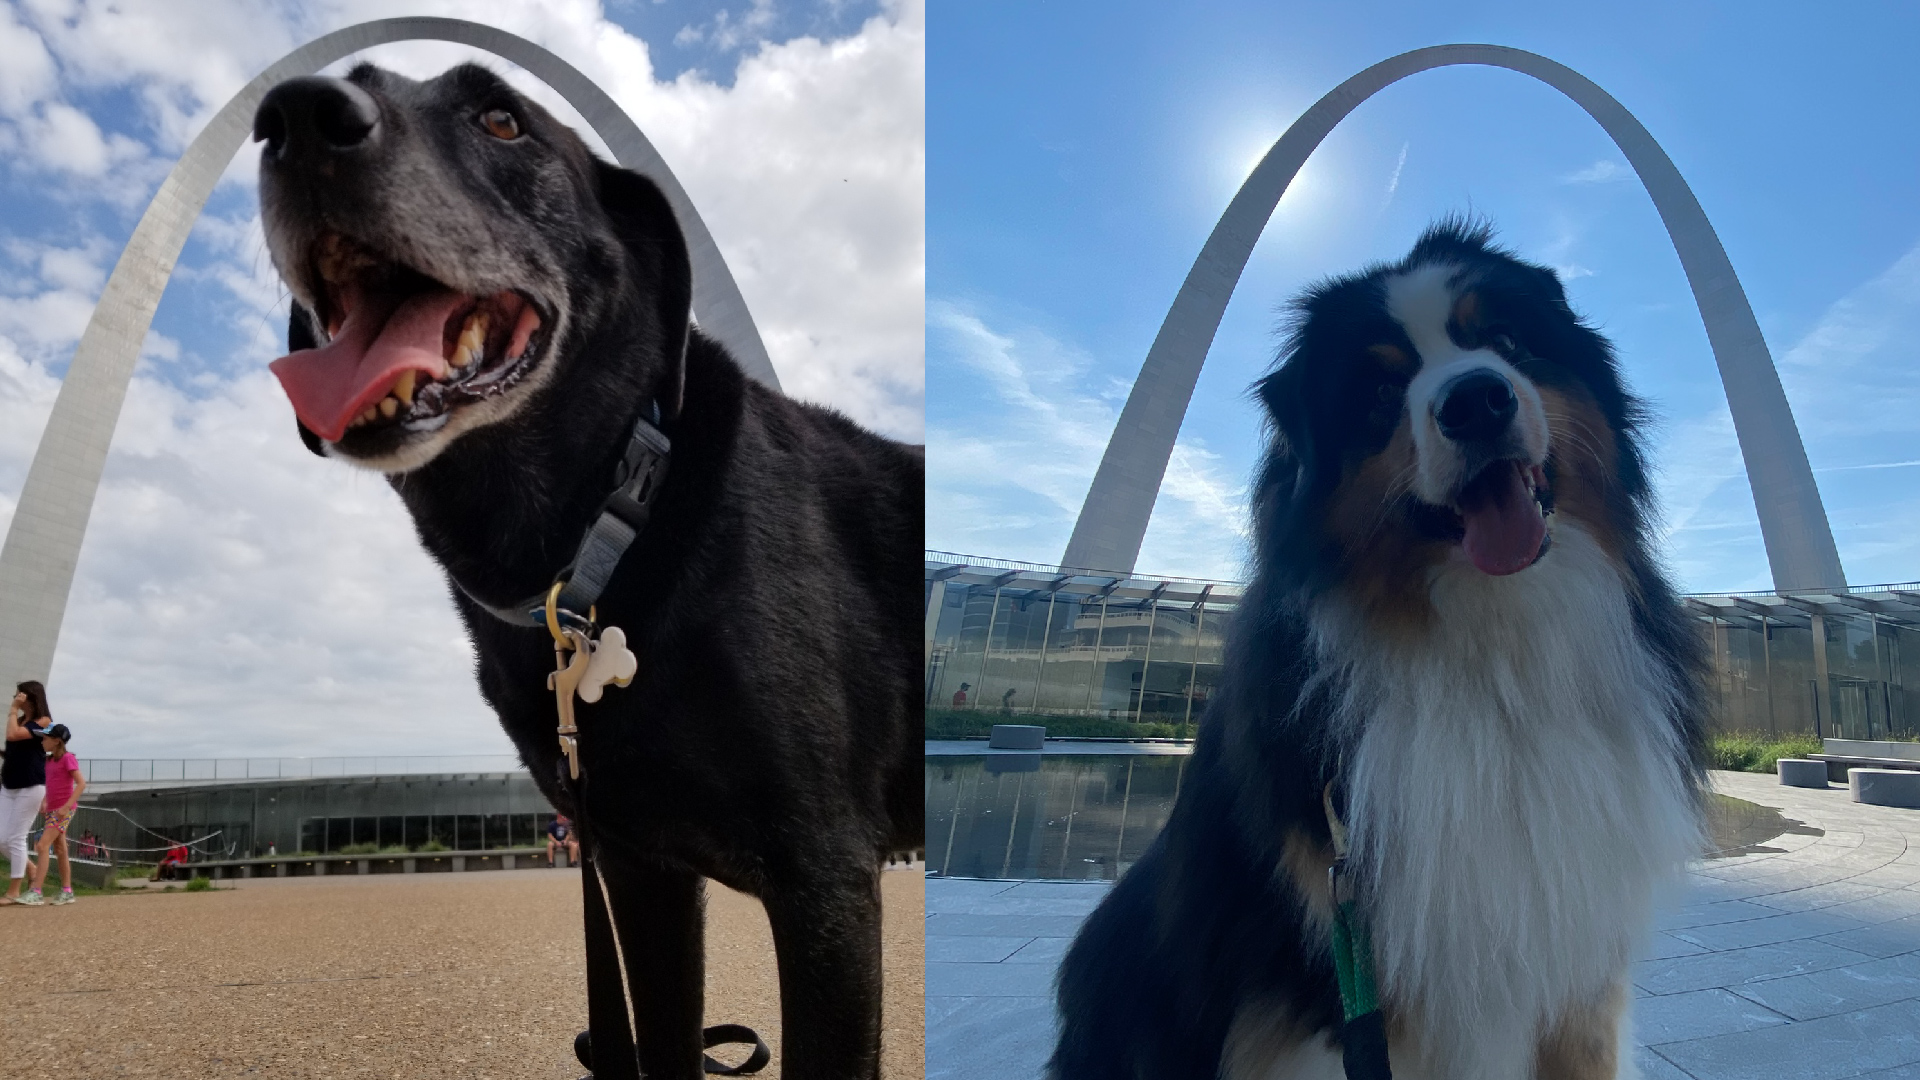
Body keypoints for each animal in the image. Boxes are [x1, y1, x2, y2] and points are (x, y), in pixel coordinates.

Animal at [1052, 220, 1712, 1076]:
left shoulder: (1579, 973)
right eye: (1376, 391)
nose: (1476, 400)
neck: (1490, 646)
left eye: (1504, 340)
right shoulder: (1326, 990)